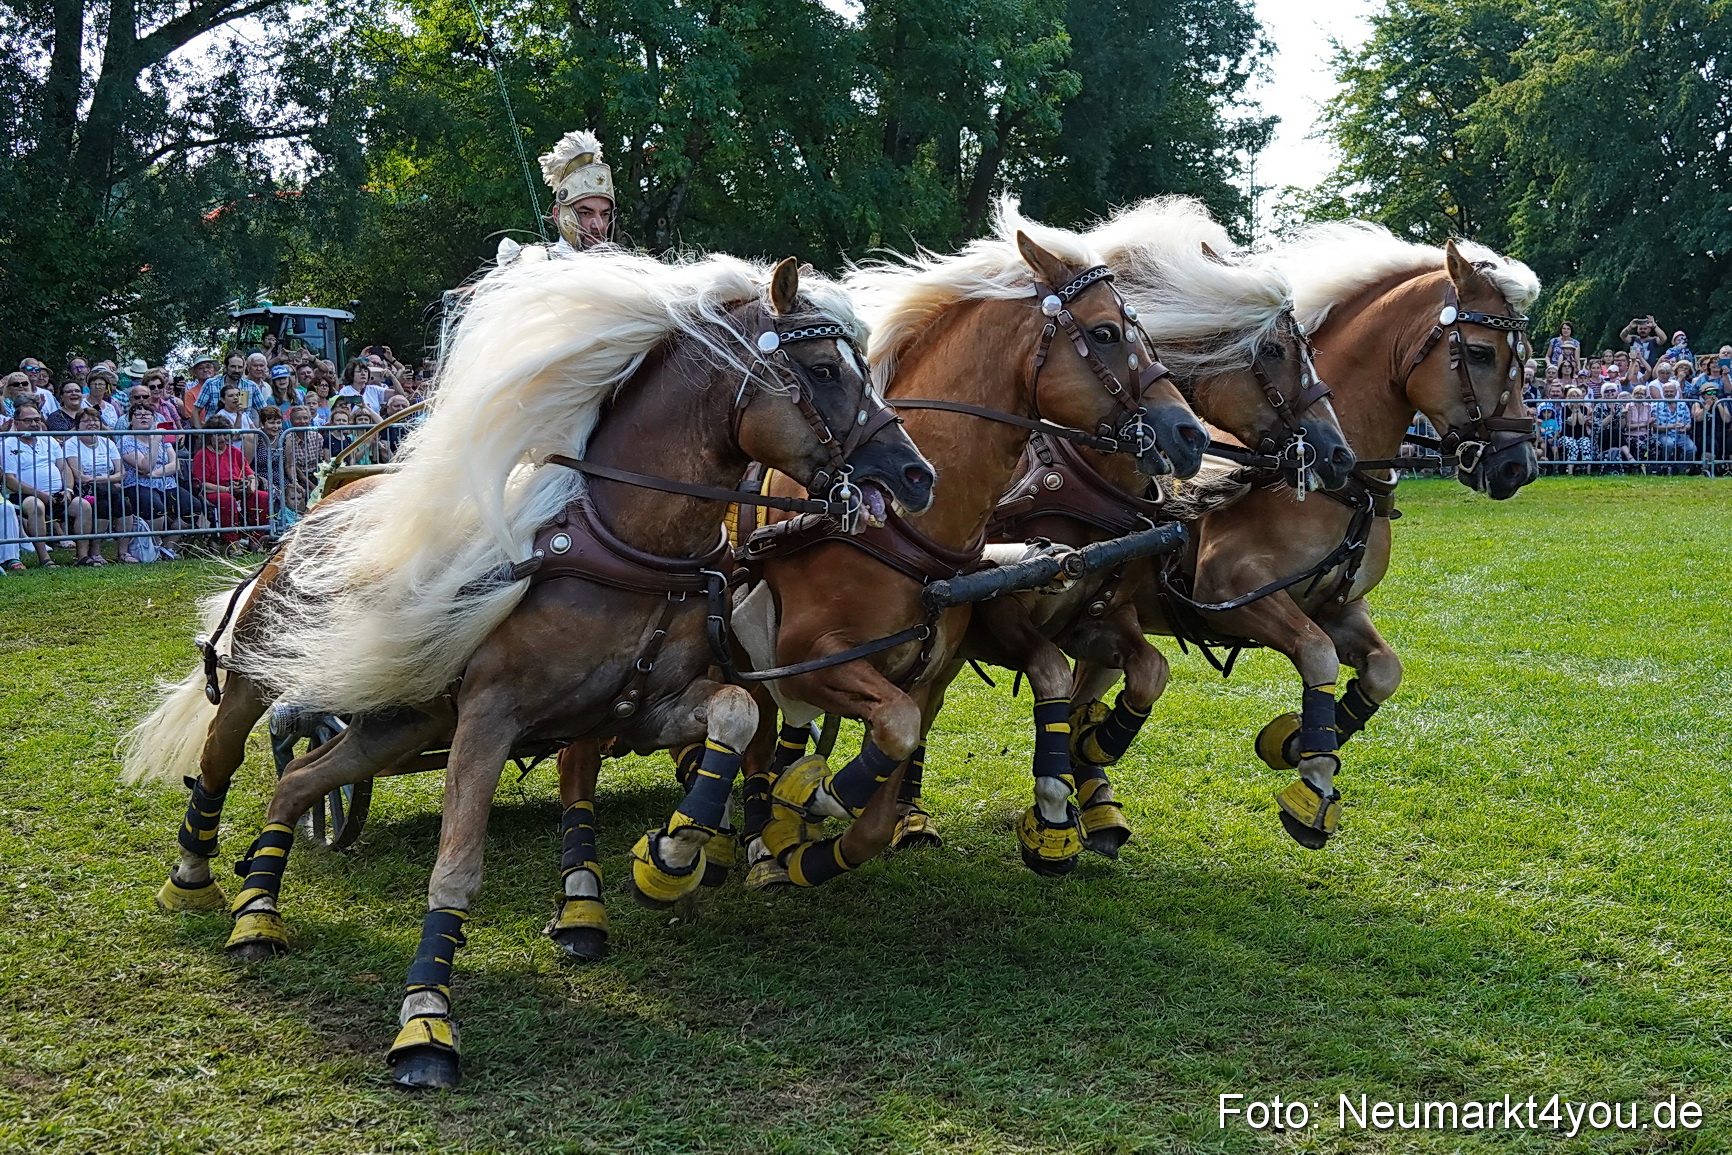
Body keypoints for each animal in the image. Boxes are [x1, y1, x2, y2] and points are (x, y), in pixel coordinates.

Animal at [123, 249, 936, 1090]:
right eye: (823, 369)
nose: (917, 475)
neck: (624, 545)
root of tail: (318, 509)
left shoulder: (644, 706)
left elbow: (736, 716)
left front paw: (673, 852)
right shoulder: (490, 719)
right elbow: (457, 868)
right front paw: (425, 1022)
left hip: (400, 719)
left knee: (298, 781)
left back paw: (258, 913)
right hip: (261, 675)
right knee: (223, 758)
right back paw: (195, 875)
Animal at [726, 203, 1211, 891]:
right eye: (1108, 333)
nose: (1191, 434)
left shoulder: (955, 661)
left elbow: (1143, 670)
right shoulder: (807, 657)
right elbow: (1025, 680)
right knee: (762, 736)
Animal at [897, 197, 1359, 872]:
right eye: (1274, 350)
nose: (1338, 452)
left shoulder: (1104, 617)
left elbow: (1143, 674)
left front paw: (1090, 762)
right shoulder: (1005, 614)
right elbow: (1054, 680)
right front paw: (1056, 815)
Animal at [1071, 225, 1540, 850]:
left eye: (1527, 360)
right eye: (1483, 353)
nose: (1519, 466)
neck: (1330, 479)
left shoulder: (1338, 606)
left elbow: (1384, 671)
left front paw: (1298, 739)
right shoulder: (1232, 596)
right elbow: (1317, 656)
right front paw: (1311, 786)